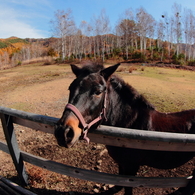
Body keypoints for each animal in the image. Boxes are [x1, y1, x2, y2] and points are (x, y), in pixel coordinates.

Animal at [54, 62, 195, 195]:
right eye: (70, 88)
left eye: (98, 92)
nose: (63, 132)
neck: (129, 125)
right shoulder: (122, 164)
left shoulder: (131, 168)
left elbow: (127, 187)